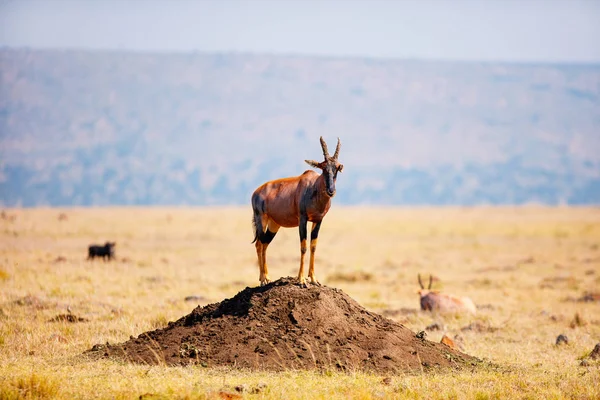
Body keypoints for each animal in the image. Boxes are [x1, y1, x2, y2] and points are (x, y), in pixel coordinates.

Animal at [250, 136, 342, 286]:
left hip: (274, 224)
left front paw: (314, 279)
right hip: (261, 219)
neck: (313, 186)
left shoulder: (318, 220)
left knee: (265, 244)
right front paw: (301, 280)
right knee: (259, 244)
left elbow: (313, 246)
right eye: (323, 168)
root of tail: (256, 192)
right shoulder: (302, 219)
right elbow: (303, 246)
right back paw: (263, 279)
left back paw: (267, 277)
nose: (331, 191)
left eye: (337, 168)